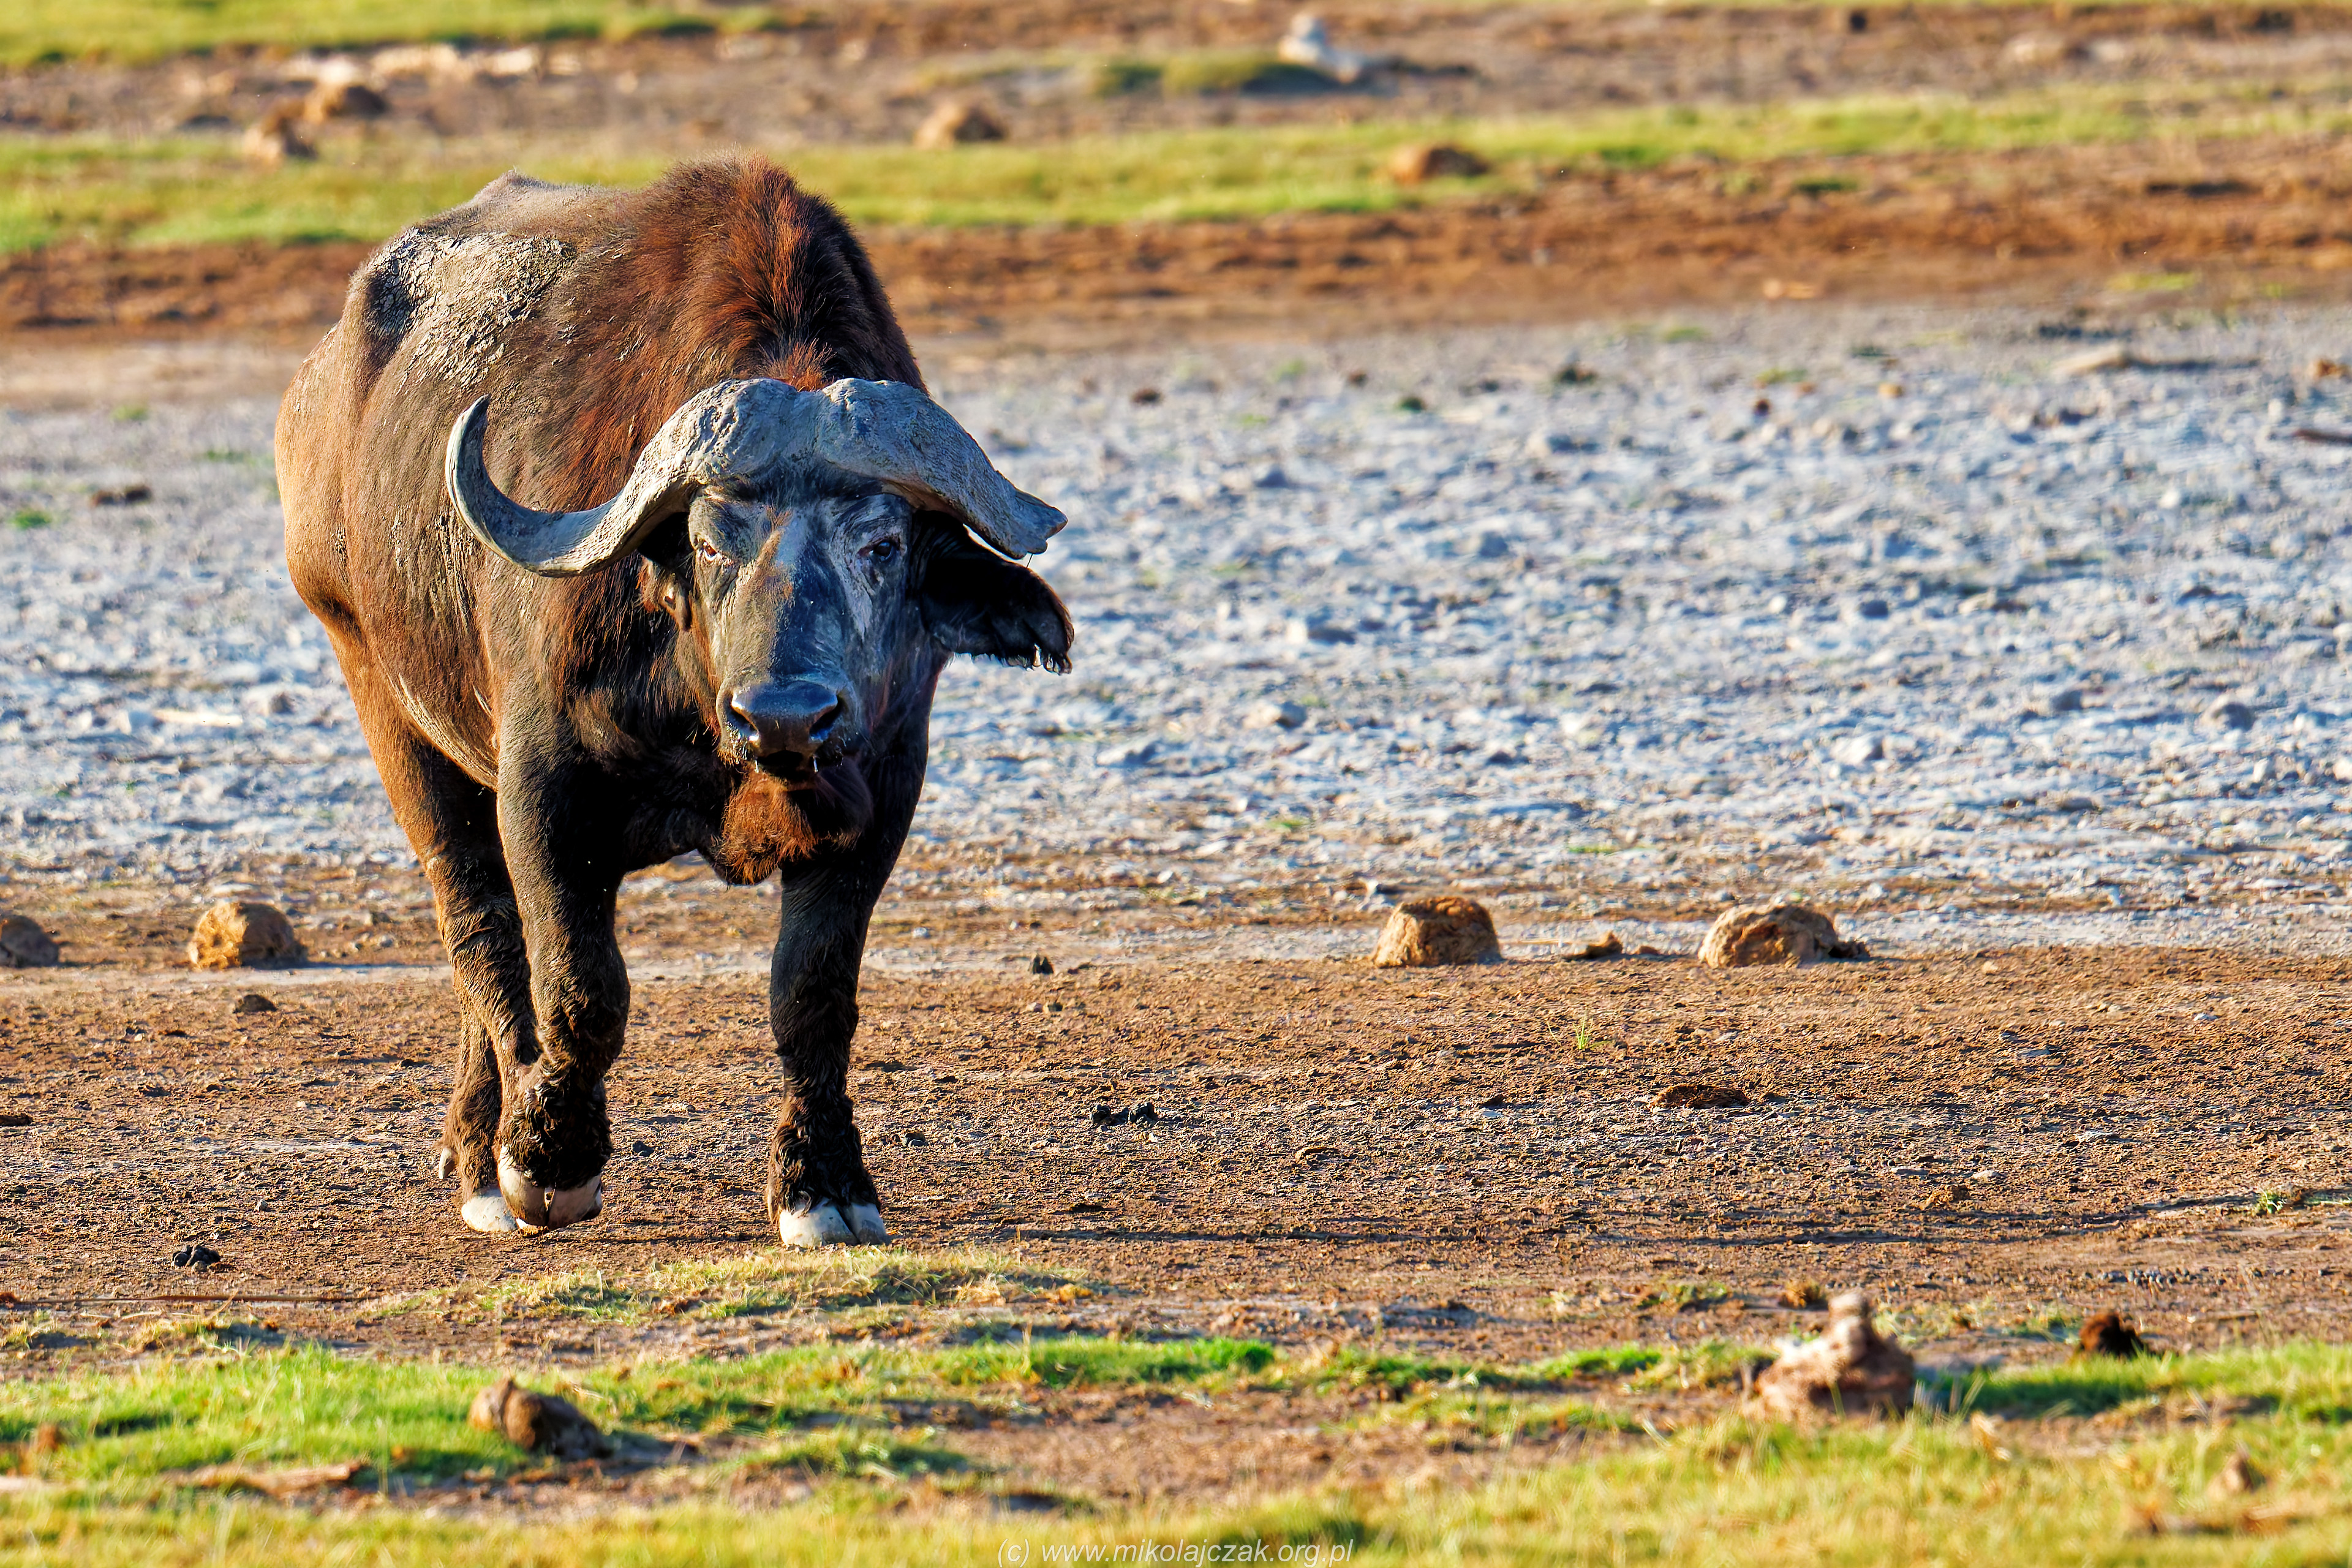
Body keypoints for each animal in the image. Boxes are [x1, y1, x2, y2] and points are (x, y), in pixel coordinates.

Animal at [277, 158, 1072, 1245]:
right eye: (706, 542)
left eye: (882, 545)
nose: (785, 715)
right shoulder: (543, 790)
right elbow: (578, 986)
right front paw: (547, 1160)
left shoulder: (883, 790)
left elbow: (812, 994)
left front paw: (824, 1183)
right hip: (382, 694)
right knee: (478, 926)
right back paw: (486, 1159)